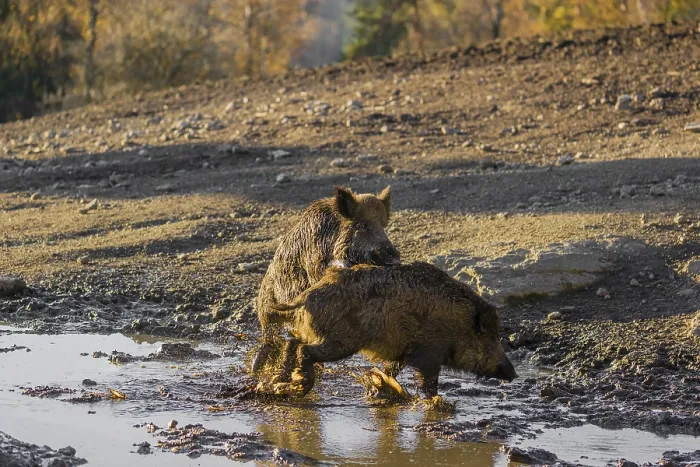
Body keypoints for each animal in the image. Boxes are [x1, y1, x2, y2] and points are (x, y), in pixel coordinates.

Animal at [251, 185, 400, 374]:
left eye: (383, 225)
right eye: (361, 225)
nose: (394, 258)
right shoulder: (315, 263)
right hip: (267, 312)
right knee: (270, 337)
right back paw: (256, 369)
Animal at [269, 262, 518, 398]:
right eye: (489, 340)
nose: (513, 373)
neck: (458, 326)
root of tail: (305, 296)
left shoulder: (403, 353)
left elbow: (390, 371)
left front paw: (380, 386)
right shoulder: (428, 354)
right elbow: (429, 384)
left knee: (292, 343)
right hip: (341, 341)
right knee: (304, 350)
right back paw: (300, 386)